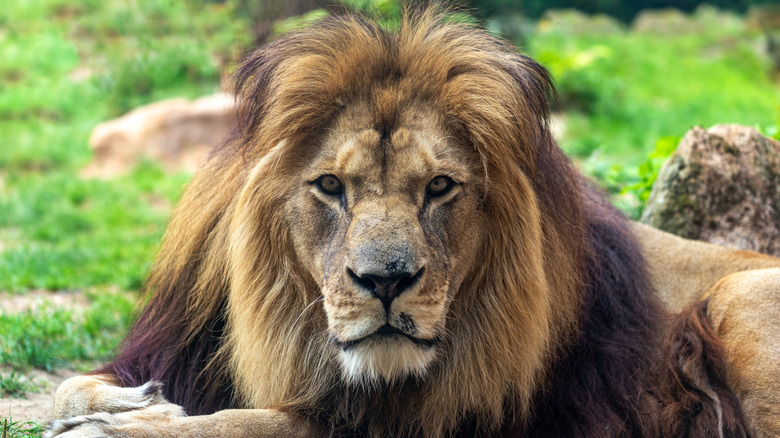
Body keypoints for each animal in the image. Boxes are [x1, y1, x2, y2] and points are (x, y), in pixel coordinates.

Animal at [46, 7, 780, 438]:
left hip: (739, 295)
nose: (385, 282)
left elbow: (240, 424)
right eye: (331, 187)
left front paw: (124, 426)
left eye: (439, 188)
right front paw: (130, 403)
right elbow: (67, 389)